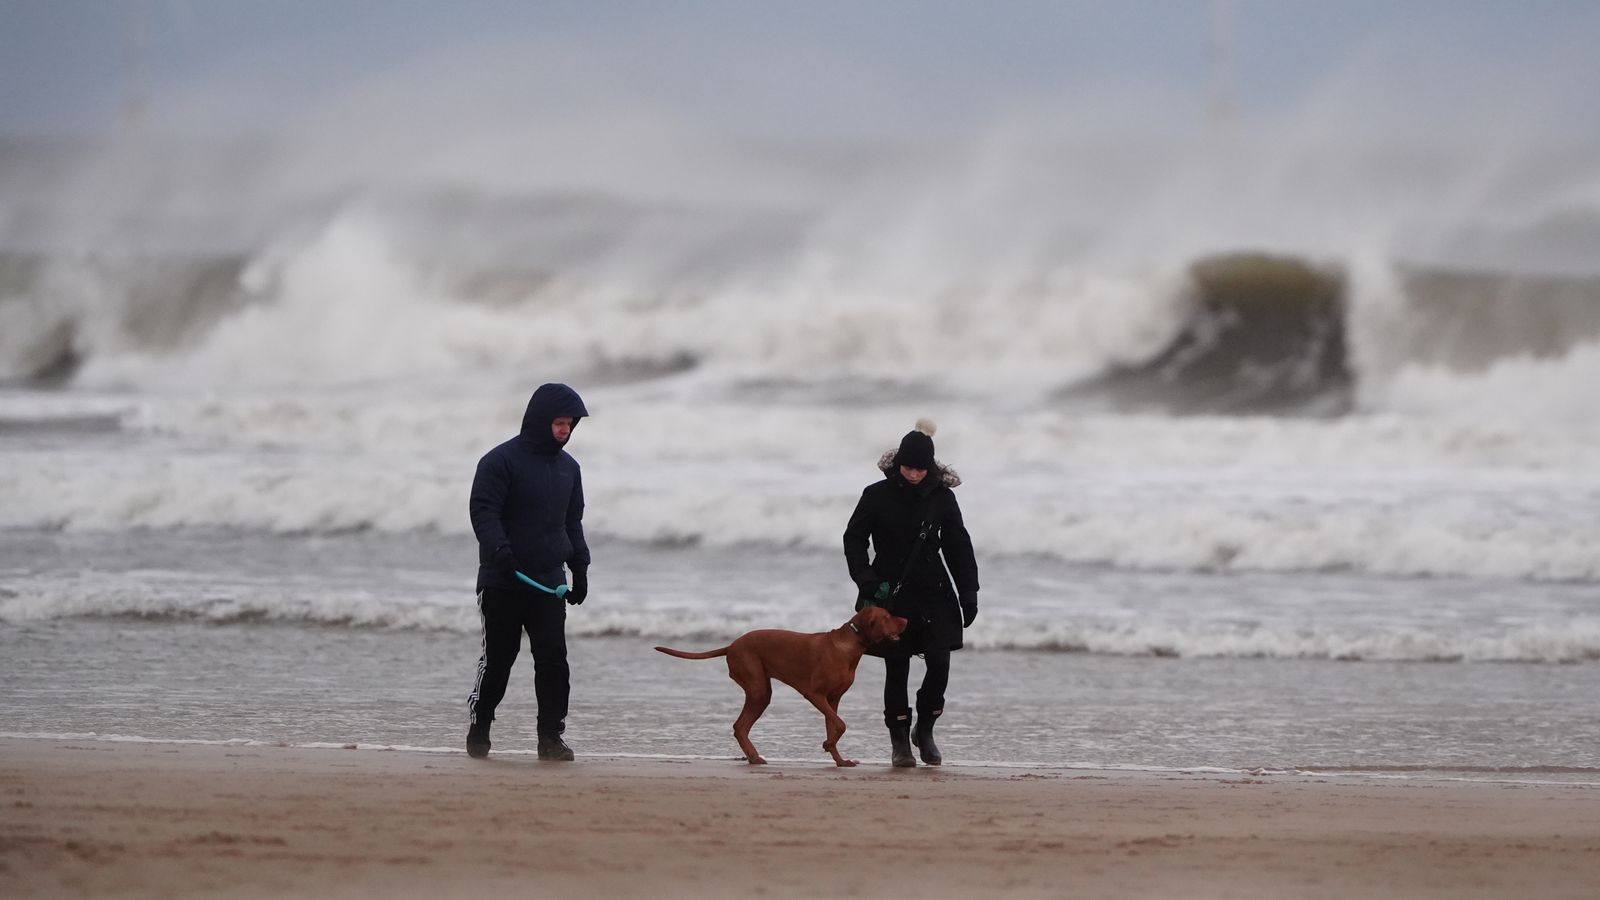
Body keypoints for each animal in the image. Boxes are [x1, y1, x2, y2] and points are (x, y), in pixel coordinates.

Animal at [649, 602, 902, 762]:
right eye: (887, 617)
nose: (907, 620)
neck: (847, 647)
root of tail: (732, 645)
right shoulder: (815, 694)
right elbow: (840, 724)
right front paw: (828, 746)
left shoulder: (833, 699)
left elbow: (834, 726)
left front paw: (839, 759)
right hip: (759, 688)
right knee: (740, 726)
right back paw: (753, 756)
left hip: (760, 691)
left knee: (740, 727)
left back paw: (753, 757)